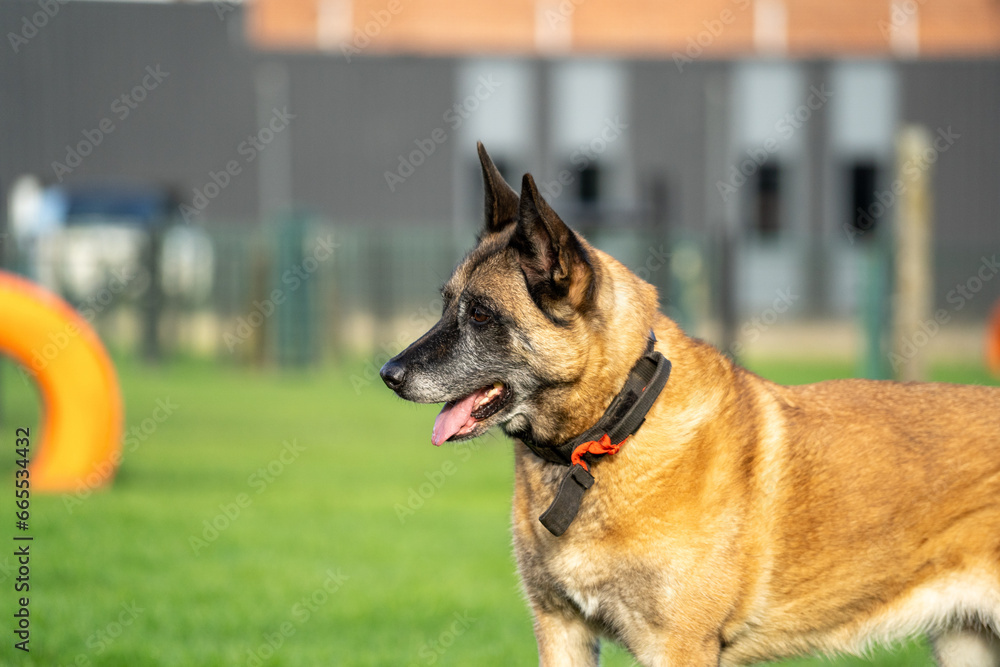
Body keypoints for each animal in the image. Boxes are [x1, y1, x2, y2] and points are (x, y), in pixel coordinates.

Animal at [380, 144, 1000, 664]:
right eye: (446, 304)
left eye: (482, 314)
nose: (388, 375)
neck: (613, 429)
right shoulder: (561, 630)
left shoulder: (676, 645)